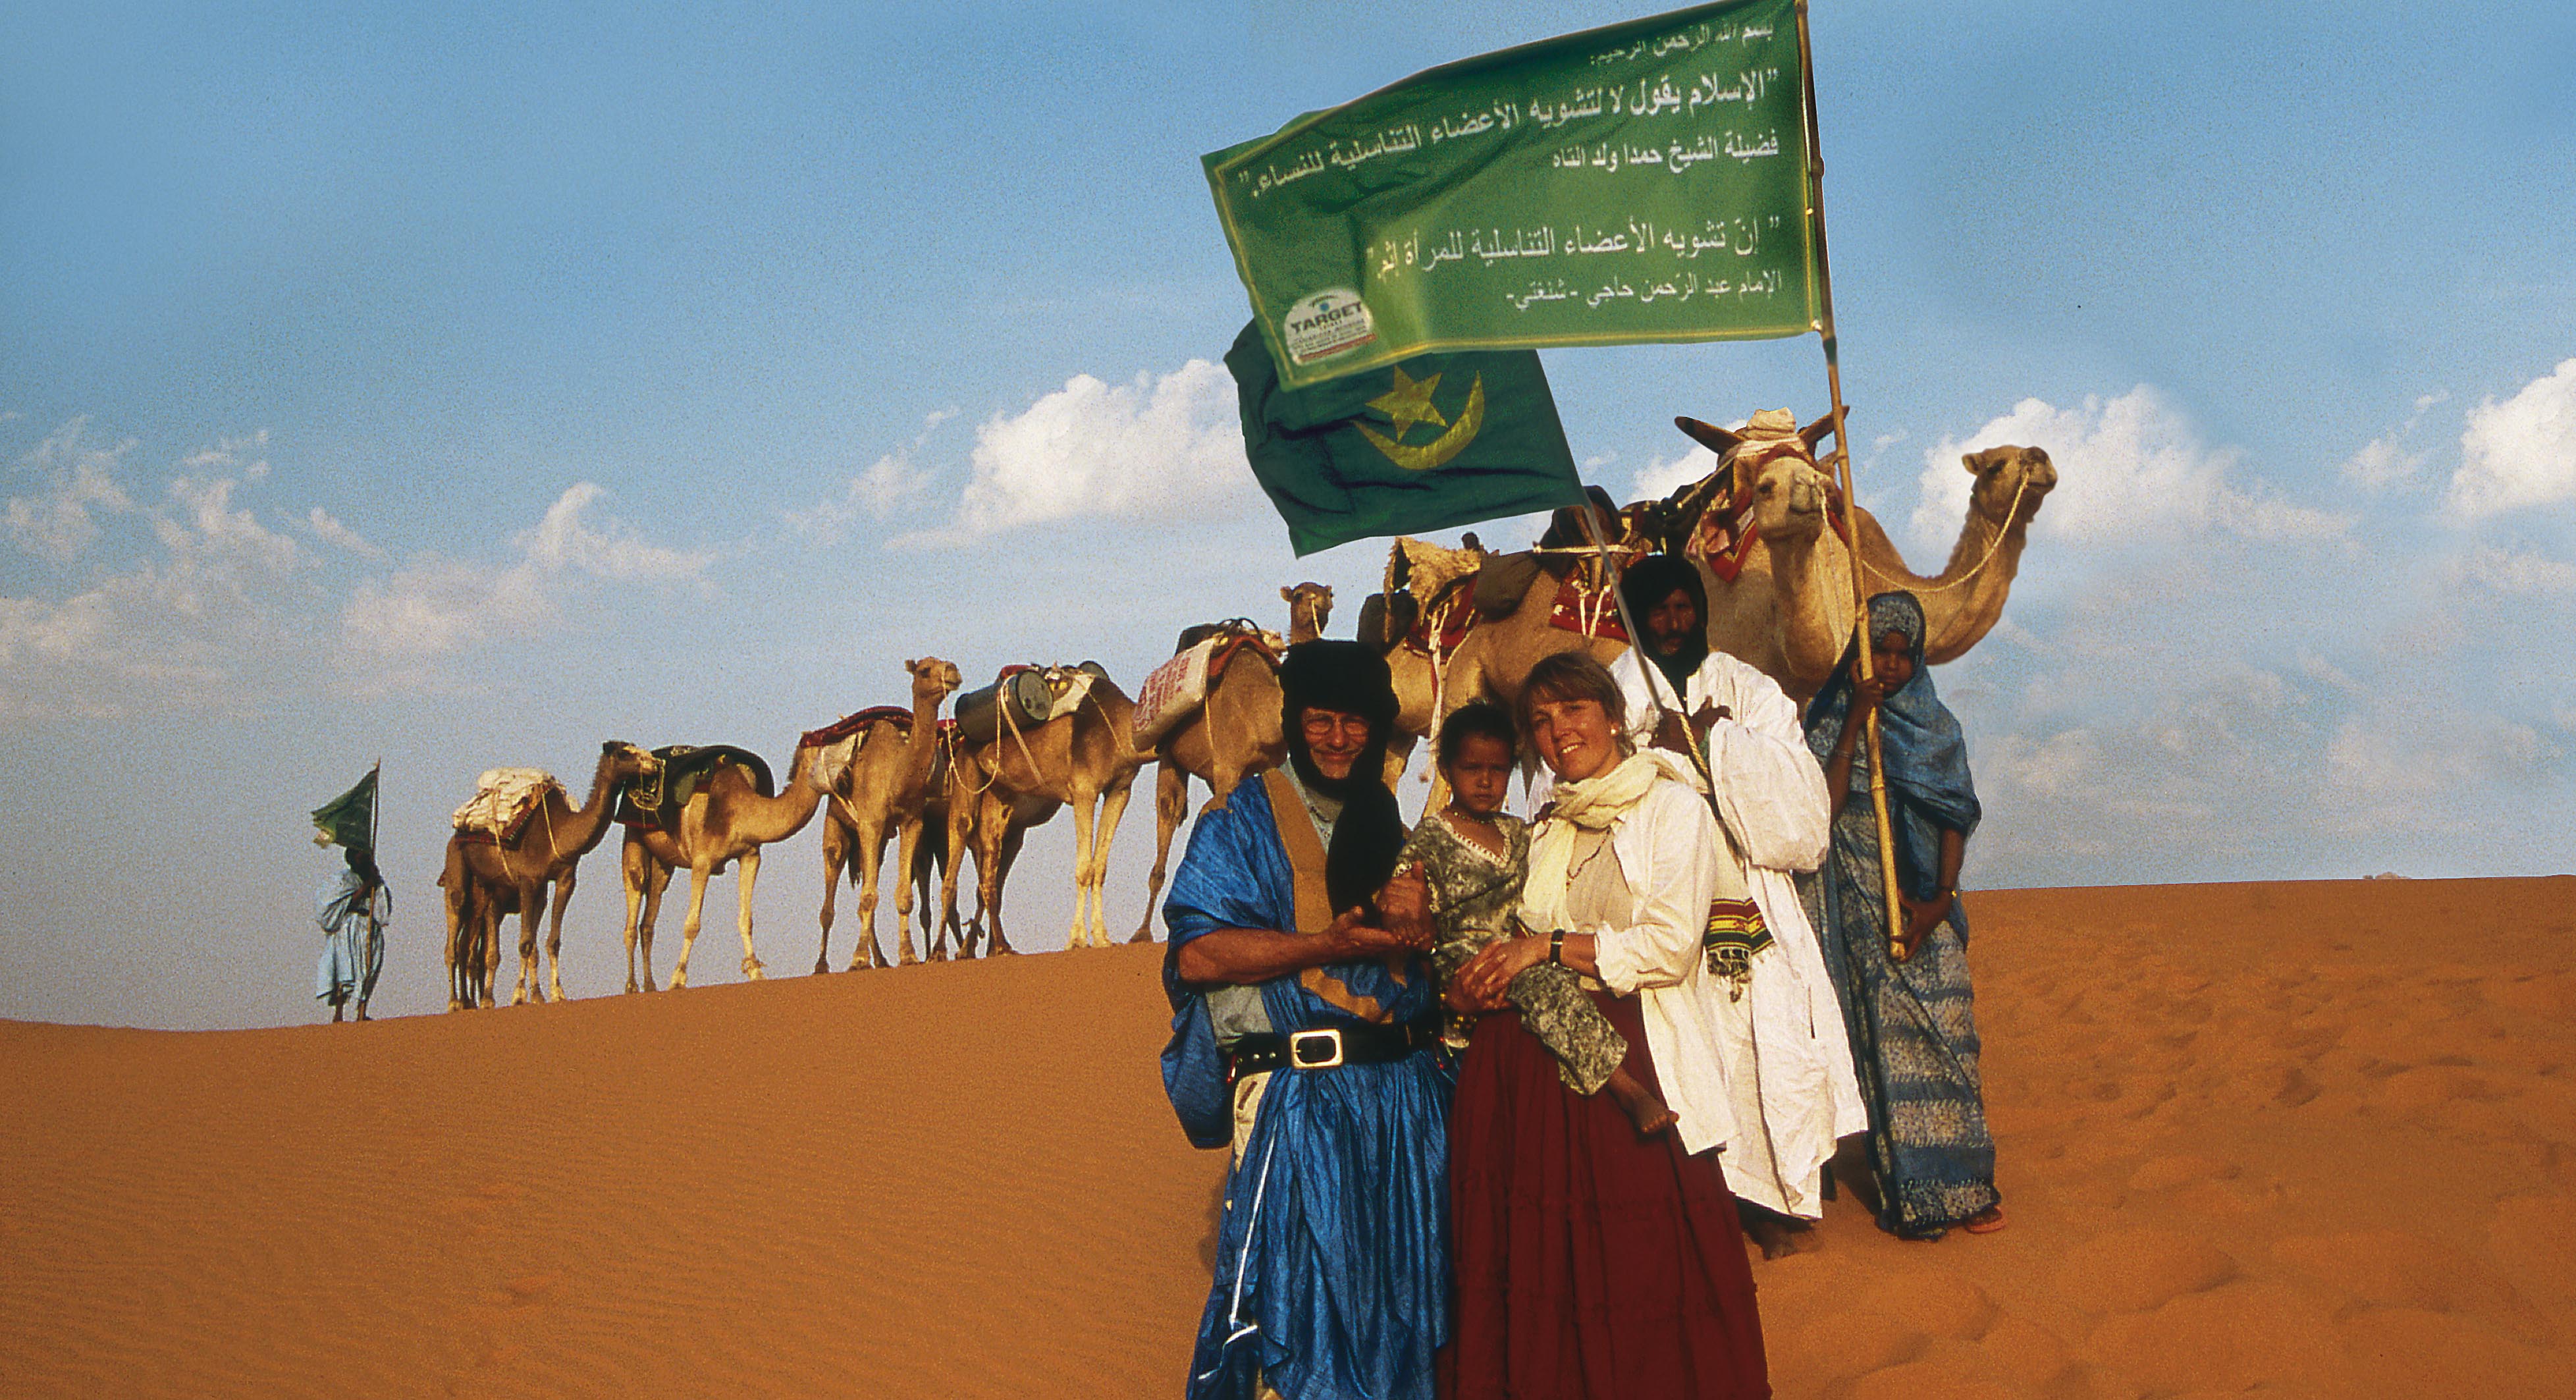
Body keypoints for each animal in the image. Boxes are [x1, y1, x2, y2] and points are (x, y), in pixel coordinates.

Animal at [435, 742, 659, 1010]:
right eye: (624, 753)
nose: (654, 763)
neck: (560, 832)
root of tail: (457, 832)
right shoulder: (527, 881)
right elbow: (525, 943)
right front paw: (519, 996)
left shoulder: (562, 880)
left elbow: (550, 941)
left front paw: (551, 994)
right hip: (456, 869)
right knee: (454, 939)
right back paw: (456, 1003)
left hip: (486, 886)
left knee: (479, 944)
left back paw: (482, 1000)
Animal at [620, 737, 845, 990]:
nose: (847, 776)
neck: (739, 807)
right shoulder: (702, 861)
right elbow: (692, 924)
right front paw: (677, 980)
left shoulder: (750, 856)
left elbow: (746, 919)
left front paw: (756, 972)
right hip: (633, 838)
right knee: (633, 905)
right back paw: (631, 986)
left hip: (663, 862)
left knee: (648, 920)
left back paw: (650, 986)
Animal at [809, 660, 963, 974]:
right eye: (925, 670)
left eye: (946, 663)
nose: (952, 671)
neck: (897, 772)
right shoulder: (871, 823)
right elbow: (868, 897)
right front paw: (858, 959)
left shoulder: (910, 822)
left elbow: (902, 895)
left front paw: (908, 955)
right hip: (837, 824)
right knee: (830, 890)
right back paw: (822, 964)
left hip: (877, 841)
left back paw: (880, 959)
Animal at [1123, 579, 1329, 943]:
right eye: (1301, 595)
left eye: (1329, 595)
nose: (1323, 603)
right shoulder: (1226, 767)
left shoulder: (1267, 766)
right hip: (1171, 757)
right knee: (1169, 812)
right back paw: (1143, 933)